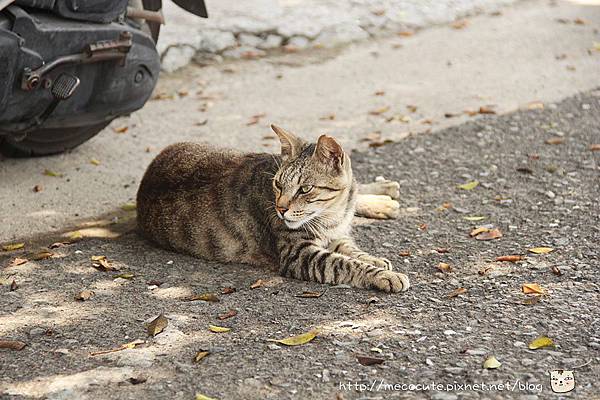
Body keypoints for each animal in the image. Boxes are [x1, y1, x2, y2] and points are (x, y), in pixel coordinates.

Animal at [137, 126, 410, 292]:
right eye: (278, 184)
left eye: (304, 189)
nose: (280, 209)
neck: (333, 213)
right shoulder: (299, 254)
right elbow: (345, 263)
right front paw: (383, 275)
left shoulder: (336, 234)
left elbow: (353, 251)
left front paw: (375, 260)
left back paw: (384, 192)